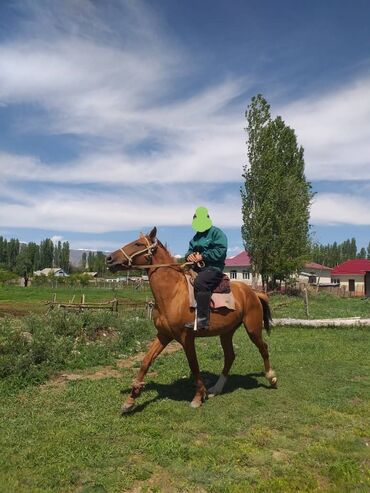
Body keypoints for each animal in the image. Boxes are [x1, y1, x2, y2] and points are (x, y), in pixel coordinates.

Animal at [105, 227, 276, 412]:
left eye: (138, 244)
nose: (109, 259)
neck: (173, 294)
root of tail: (253, 292)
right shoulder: (164, 335)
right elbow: (145, 361)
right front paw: (130, 399)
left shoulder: (186, 338)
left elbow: (194, 365)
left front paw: (198, 397)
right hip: (226, 332)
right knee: (230, 356)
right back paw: (216, 388)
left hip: (252, 329)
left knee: (263, 348)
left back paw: (271, 378)